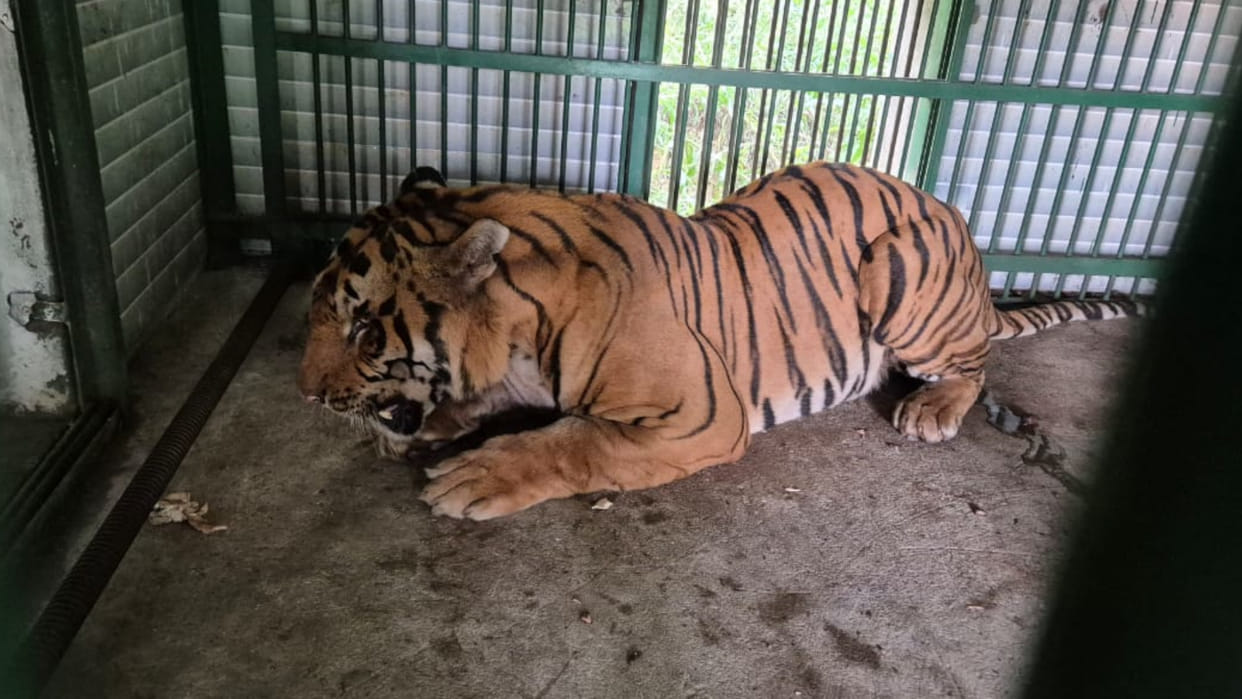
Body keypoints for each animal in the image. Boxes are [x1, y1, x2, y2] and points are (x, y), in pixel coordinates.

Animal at [297, 162, 1143, 520]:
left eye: (363, 328)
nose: (307, 394)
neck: (517, 332)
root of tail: (955, 219)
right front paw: (422, 425)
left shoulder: (699, 414)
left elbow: (576, 441)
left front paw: (477, 474)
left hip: (903, 274)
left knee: (976, 364)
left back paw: (931, 409)